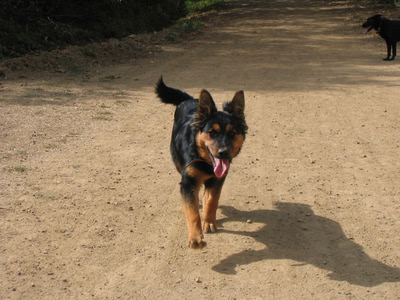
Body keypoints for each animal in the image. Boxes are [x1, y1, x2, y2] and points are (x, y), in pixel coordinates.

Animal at [156, 77, 247, 248]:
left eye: (232, 133)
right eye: (212, 132)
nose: (223, 153)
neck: (205, 162)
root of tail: (189, 99)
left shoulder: (218, 179)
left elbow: (212, 200)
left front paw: (208, 221)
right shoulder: (188, 182)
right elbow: (192, 211)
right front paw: (196, 237)